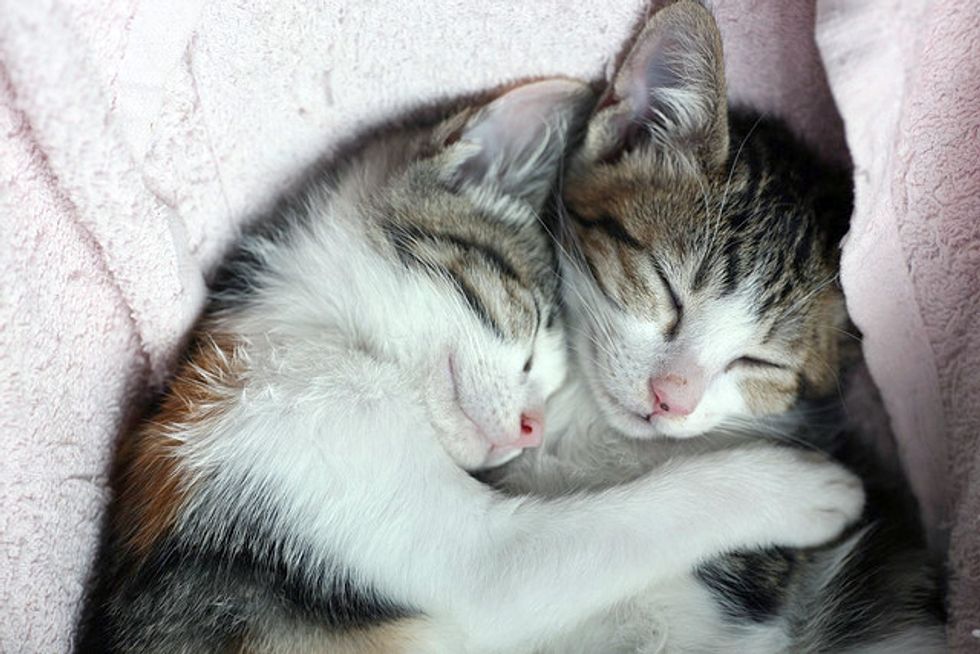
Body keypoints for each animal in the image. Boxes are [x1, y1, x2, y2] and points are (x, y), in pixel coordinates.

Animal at [77, 77, 865, 654]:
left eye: (547, 376)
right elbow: (630, 517)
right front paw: (803, 489)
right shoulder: (307, 475)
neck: (310, 339)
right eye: (530, 334)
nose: (529, 426)